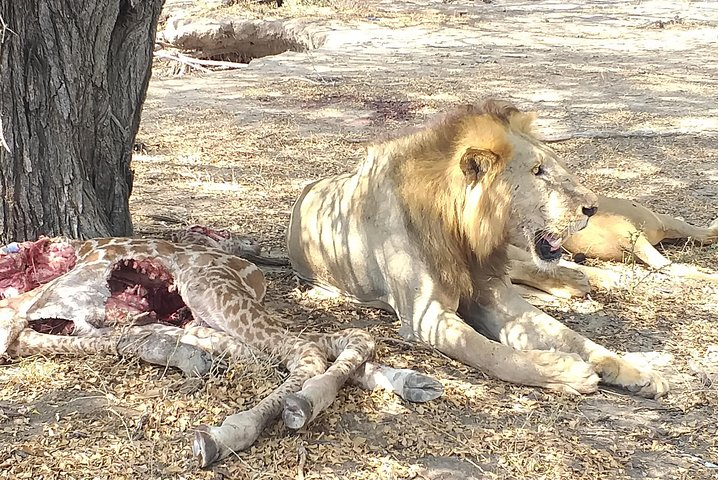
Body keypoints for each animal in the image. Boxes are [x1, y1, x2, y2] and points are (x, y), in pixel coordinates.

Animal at [0, 235, 443, 467]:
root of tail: (254, 273)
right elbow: (116, 340)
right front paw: (190, 360)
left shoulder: (36, 312)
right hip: (203, 316)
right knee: (328, 342)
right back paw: (415, 382)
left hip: (210, 291)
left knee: (308, 347)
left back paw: (230, 430)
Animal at [287, 100, 669, 398]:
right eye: (538, 171)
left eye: (554, 164)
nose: (592, 207)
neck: (464, 236)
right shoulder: (427, 315)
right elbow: (492, 353)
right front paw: (565, 371)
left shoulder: (495, 293)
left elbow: (569, 336)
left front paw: (635, 371)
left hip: (517, 256)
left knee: (532, 267)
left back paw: (585, 280)